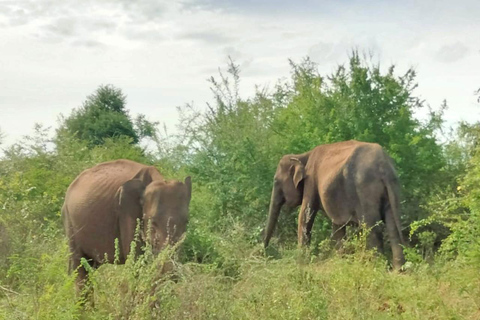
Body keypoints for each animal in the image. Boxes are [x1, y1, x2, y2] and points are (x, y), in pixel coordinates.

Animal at [62, 159, 191, 292]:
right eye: (152, 222)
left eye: (186, 222)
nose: (174, 277)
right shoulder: (126, 211)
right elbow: (135, 261)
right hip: (69, 220)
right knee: (80, 267)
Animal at [264, 141, 406, 270]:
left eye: (276, 181)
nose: (264, 252)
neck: (302, 155)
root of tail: (384, 166)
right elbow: (338, 226)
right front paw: (341, 262)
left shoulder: (311, 180)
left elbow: (305, 214)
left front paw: (301, 264)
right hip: (391, 189)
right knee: (392, 225)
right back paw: (398, 271)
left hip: (365, 189)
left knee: (371, 227)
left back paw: (376, 268)